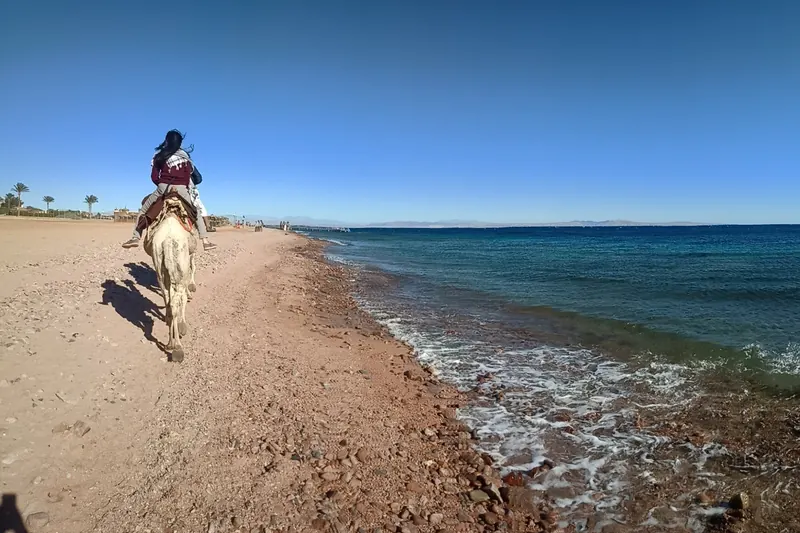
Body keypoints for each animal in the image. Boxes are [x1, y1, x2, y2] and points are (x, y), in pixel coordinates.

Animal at [143, 194, 198, 362]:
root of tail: (167, 239)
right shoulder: (188, 260)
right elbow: (184, 297)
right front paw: (182, 324)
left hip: (159, 266)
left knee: (168, 299)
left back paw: (170, 343)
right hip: (179, 265)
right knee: (175, 301)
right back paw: (177, 347)